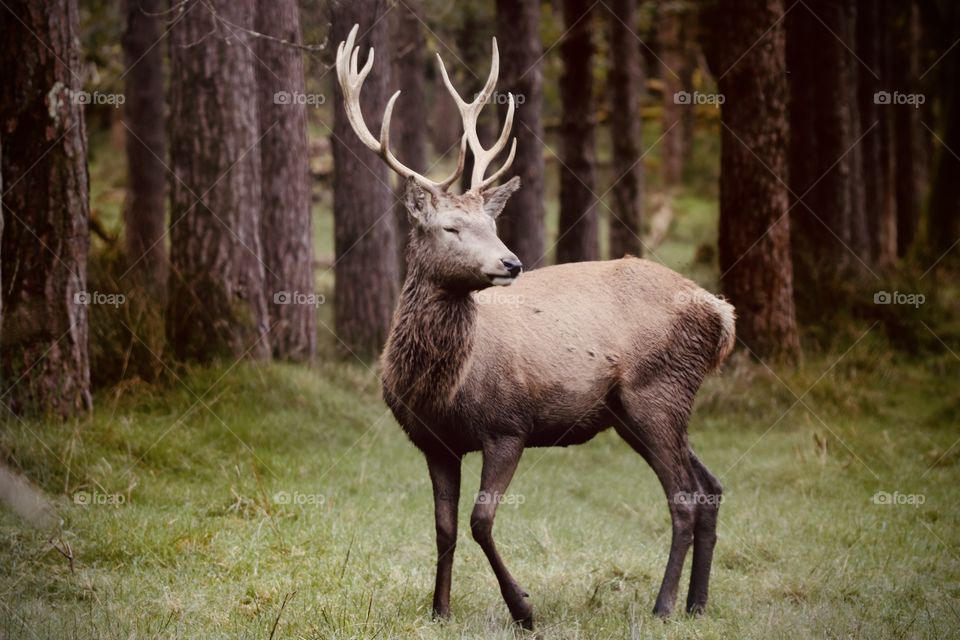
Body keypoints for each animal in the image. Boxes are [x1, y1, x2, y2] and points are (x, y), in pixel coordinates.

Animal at [335, 24, 735, 629]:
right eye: (451, 226)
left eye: (492, 222)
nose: (511, 262)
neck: (443, 385)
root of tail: (720, 312)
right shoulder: (433, 441)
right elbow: (444, 528)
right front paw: (439, 611)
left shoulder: (508, 425)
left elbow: (480, 521)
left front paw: (523, 607)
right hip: (632, 411)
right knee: (709, 487)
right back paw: (697, 604)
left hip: (657, 391)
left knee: (684, 498)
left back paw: (664, 605)